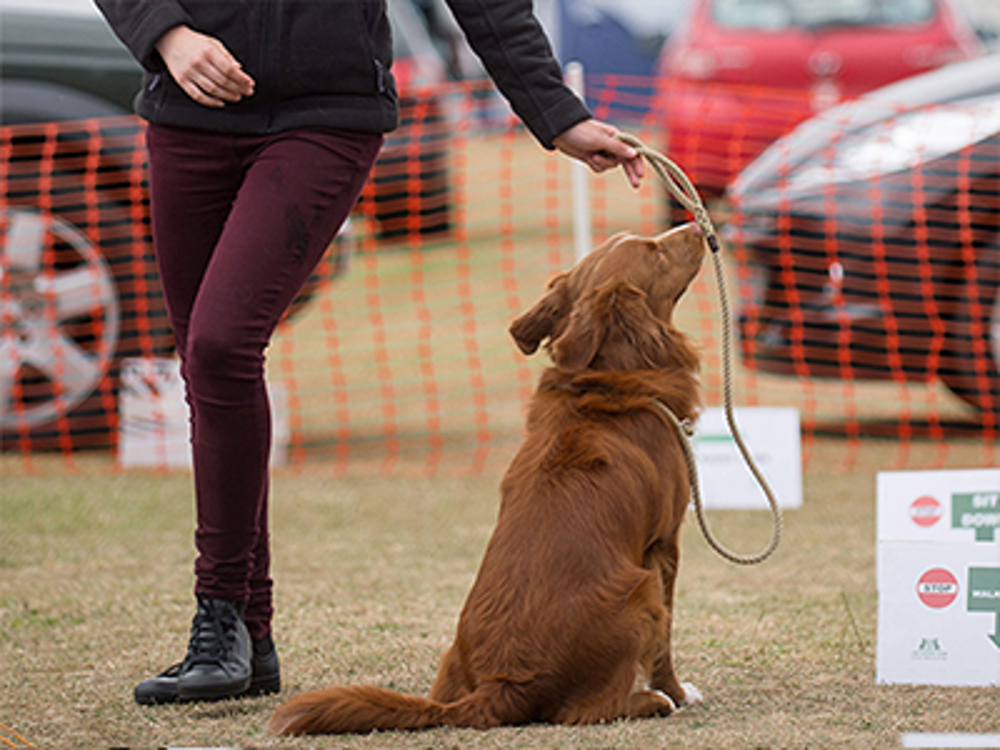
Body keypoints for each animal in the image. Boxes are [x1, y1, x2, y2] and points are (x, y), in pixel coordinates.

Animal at [270, 225, 708, 740]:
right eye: (655, 252)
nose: (699, 228)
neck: (607, 376)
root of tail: (502, 684)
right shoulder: (664, 545)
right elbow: (666, 644)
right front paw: (679, 691)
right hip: (639, 597)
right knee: (593, 706)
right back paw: (654, 700)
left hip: (453, 661)